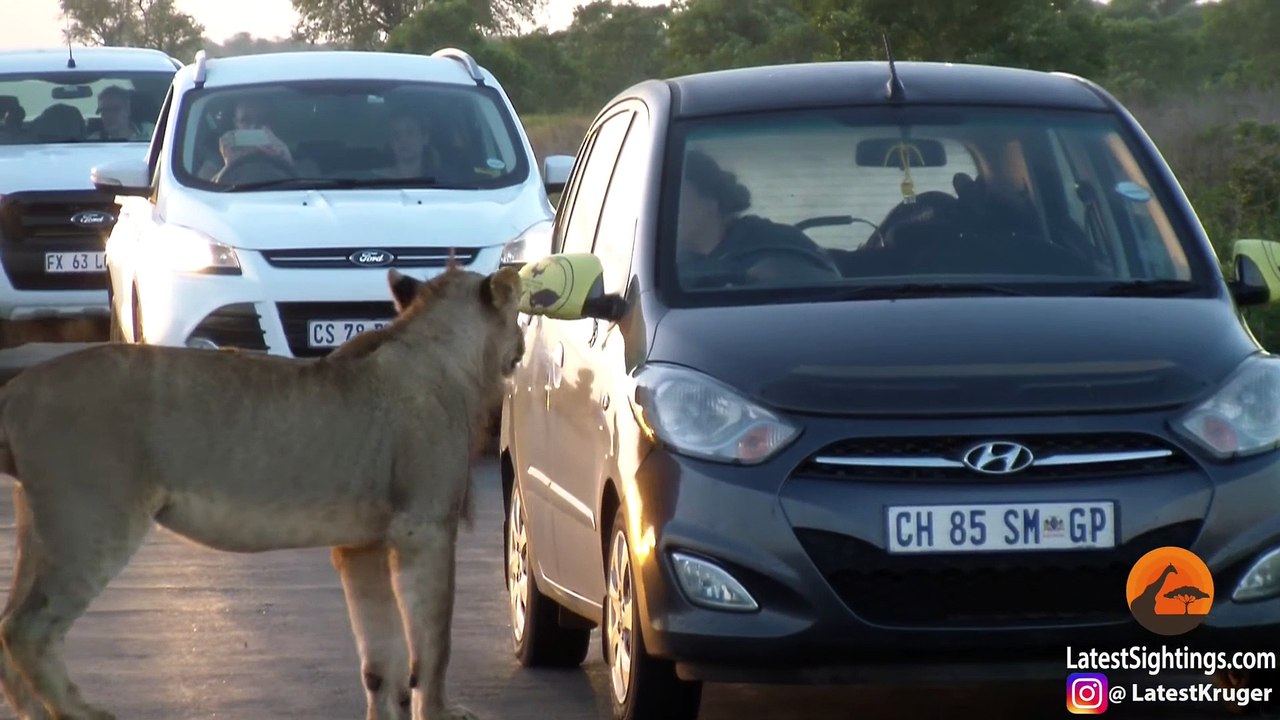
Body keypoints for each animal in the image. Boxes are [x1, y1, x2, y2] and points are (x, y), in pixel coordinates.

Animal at [0, 263, 525, 720]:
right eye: (519, 312)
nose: (522, 346)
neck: (442, 353)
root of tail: (19, 388)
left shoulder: (362, 545)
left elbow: (381, 655)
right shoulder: (425, 528)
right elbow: (434, 641)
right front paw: (441, 711)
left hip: (44, 525)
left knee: (6, 624)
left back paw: (34, 711)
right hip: (92, 521)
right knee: (28, 628)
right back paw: (78, 710)